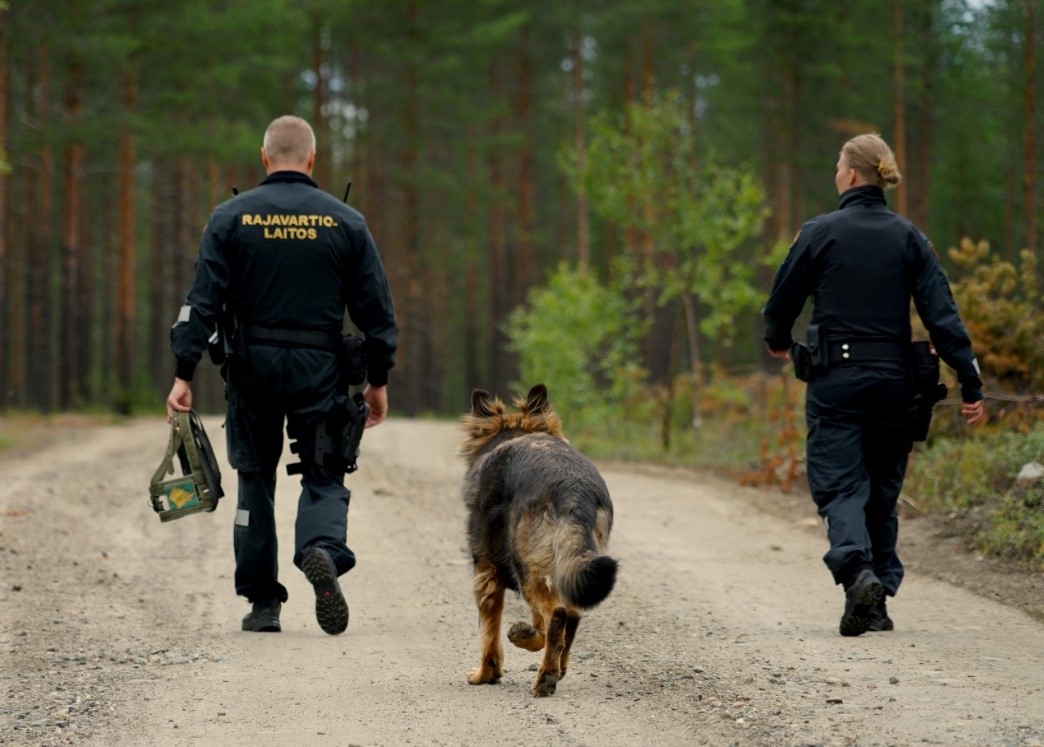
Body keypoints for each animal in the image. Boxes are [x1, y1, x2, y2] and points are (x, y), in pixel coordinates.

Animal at [459, 386, 618, 701]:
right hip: (568, 565)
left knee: (555, 616)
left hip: (527, 569)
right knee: (570, 616)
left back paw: (543, 672)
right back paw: (555, 667)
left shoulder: (486, 573)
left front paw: (486, 674)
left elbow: (489, 634)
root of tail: (573, 488)